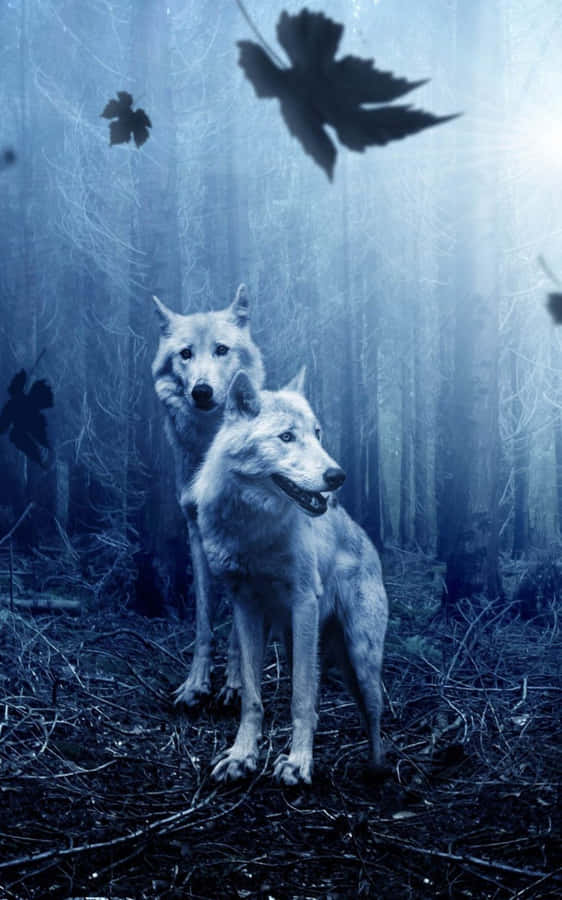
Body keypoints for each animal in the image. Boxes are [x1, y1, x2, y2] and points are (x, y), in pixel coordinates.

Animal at [151, 286, 264, 706]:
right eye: (185, 353)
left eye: (221, 349)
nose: (202, 391)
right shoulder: (196, 535)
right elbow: (203, 621)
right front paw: (195, 685)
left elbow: (238, 628)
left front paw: (235, 685)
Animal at [192, 368, 389, 784]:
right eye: (286, 437)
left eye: (317, 433)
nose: (337, 476)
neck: (253, 529)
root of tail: (367, 541)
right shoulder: (245, 607)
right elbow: (252, 696)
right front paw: (242, 756)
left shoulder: (303, 603)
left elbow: (300, 698)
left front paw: (298, 764)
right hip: (300, 641)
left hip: (360, 656)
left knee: (373, 714)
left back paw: (376, 770)